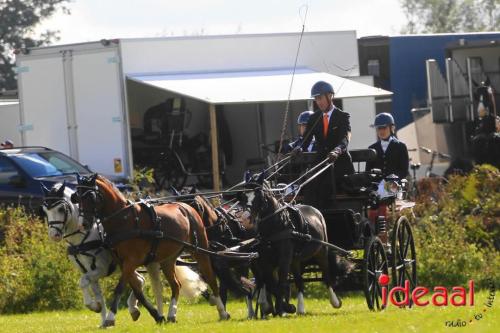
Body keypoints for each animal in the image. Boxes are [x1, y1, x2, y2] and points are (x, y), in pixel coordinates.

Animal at [40, 180, 163, 326]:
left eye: (60, 209)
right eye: (45, 210)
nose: (54, 235)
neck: (82, 237)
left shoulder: (101, 269)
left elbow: (82, 282)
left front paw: (94, 307)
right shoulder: (88, 272)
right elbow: (98, 295)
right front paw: (102, 318)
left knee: (141, 281)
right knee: (139, 280)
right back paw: (134, 309)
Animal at [72, 174, 229, 324]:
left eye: (91, 196)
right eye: (77, 197)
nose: (83, 224)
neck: (124, 219)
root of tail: (186, 207)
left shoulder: (131, 262)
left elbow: (120, 288)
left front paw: (110, 318)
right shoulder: (123, 263)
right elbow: (137, 290)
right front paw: (156, 316)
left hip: (200, 251)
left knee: (211, 278)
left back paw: (222, 311)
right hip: (168, 260)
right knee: (175, 285)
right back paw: (171, 314)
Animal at [242, 176, 344, 314]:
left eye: (259, 196)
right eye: (243, 195)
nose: (245, 219)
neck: (277, 225)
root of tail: (316, 211)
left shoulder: (284, 259)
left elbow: (281, 284)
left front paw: (282, 309)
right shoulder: (266, 261)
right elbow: (271, 284)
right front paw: (283, 307)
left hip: (321, 251)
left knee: (326, 276)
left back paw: (335, 302)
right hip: (295, 259)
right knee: (299, 281)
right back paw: (300, 309)